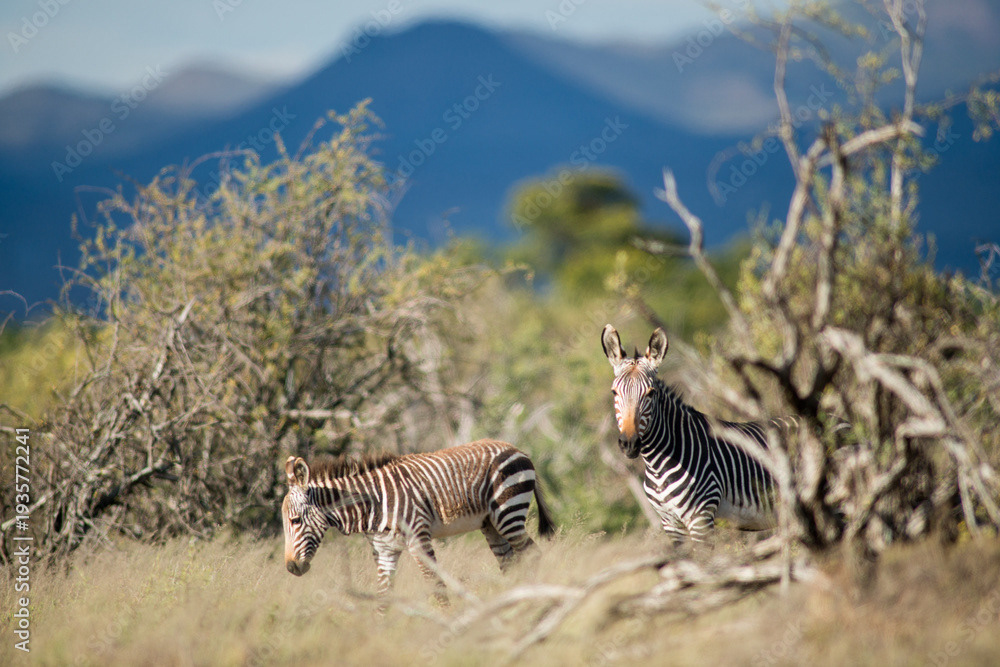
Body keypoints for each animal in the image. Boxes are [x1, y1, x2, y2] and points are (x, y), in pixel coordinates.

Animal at [281, 439, 555, 603]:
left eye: (295, 521)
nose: (291, 568)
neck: (372, 504)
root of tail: (517, 449)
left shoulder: (418, 538)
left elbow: (435, 585)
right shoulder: (384, 549)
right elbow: (383, 596)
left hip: (508, 512)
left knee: (533, 554)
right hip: (491, 525)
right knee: (510, 563)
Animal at [601, 324, 778, 541]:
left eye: (651, 393)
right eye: (614, 392)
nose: (629, 443)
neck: (657, 466)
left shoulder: (701, 518)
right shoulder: (670, 523)